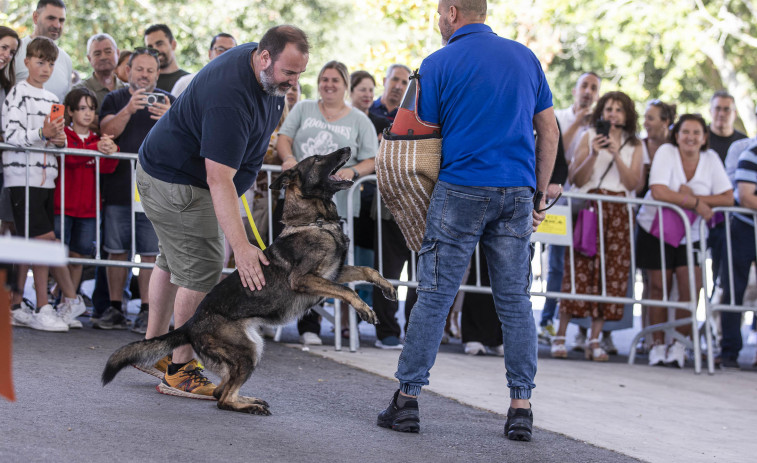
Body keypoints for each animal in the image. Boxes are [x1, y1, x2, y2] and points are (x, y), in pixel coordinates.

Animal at [102, 150, 396, 416]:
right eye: (317, 159)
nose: (347, 149)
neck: (316, 221)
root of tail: (190, 324)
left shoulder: (332, 274)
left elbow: (367, 270)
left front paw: (388, 287)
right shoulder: (304, 279)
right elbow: (345, 289)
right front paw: (365, 310)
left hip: (250, 348)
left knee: (221, 391)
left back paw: (249, 399)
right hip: (247, 351)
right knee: (222, 399)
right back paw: (250, 406)